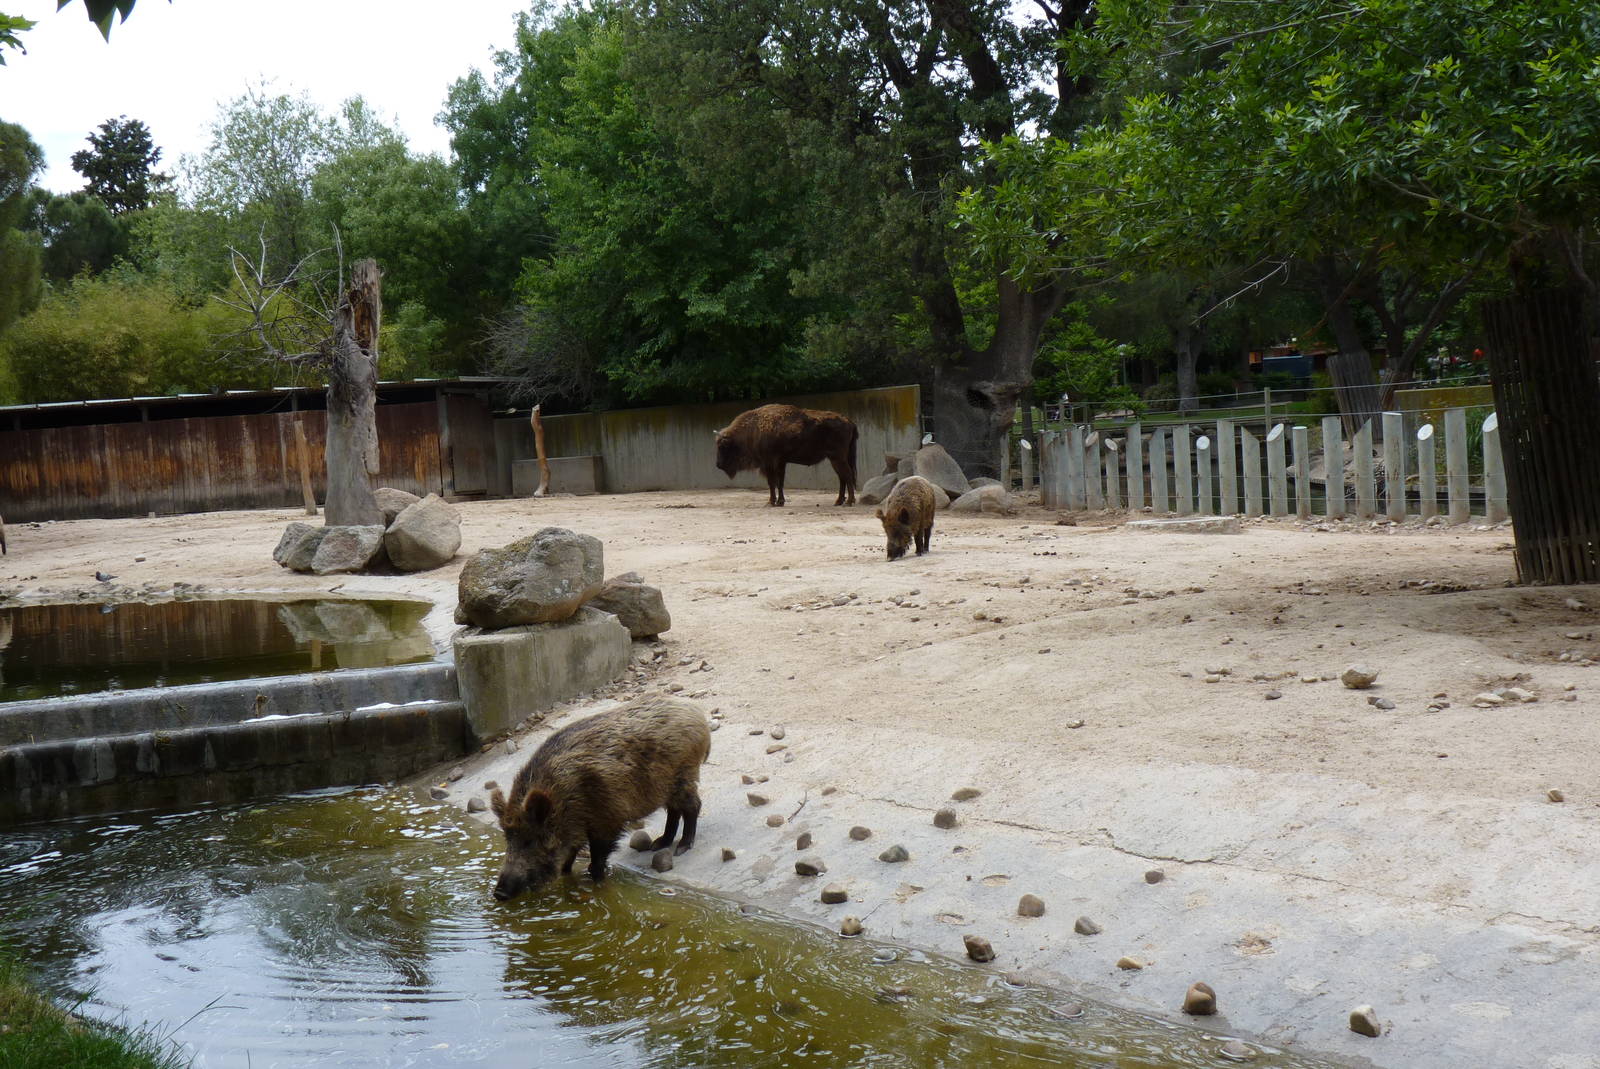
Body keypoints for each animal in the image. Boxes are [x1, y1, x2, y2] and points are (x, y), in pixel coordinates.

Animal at [489, 696, 711, 900]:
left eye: (530, 841)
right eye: (507, 838)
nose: (499, 892)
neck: (564, 800)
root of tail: (696, 714)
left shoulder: (607, 820)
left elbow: (596, 860)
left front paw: (598, 883)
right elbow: (568, 860)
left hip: (684, 775)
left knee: (693, 806)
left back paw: (681, 848)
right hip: (668, 787)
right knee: (674, 811)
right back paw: (658, 844)